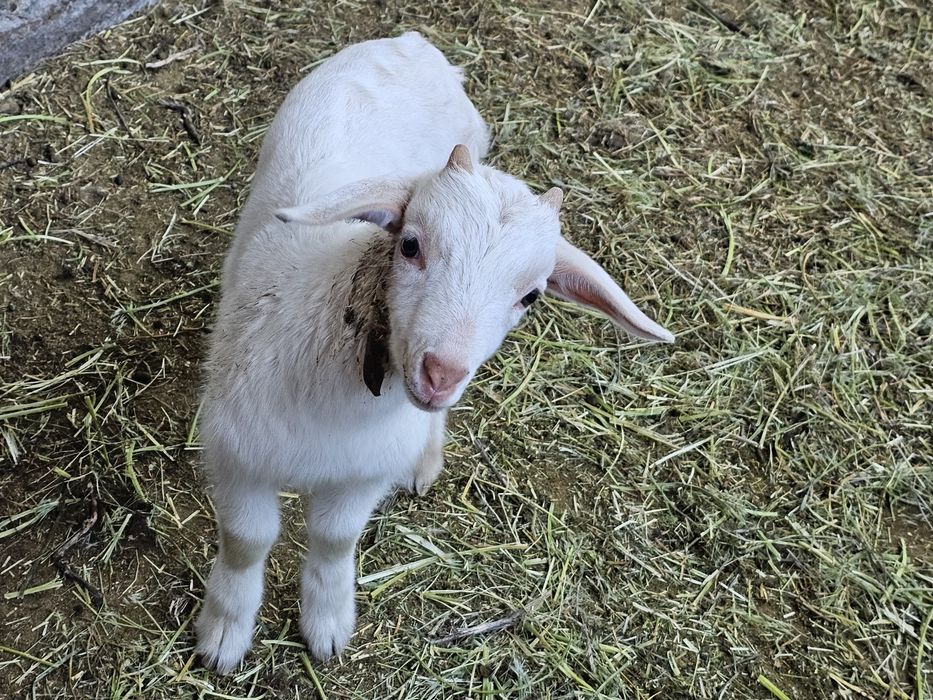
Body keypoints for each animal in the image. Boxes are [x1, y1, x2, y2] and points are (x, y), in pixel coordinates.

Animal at [195, 31, 673, 673]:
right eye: (411, 245)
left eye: (532, 295)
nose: (441, 372)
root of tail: (410, 44)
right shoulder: (237, 452)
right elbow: (247, 541)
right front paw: (224, 634)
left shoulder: (363, 472)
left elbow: (335, 539)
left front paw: (327, 622)